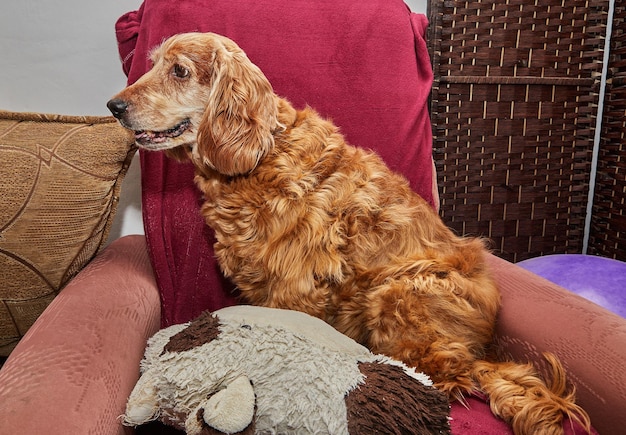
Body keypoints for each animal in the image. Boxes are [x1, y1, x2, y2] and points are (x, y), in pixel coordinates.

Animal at [107, 32, 588, 434]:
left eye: (180, 71)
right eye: (152, 64)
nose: (114, 106)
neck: (260, 158)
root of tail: (483, 344)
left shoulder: (295, 287)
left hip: (397, 293)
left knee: (449, 374)